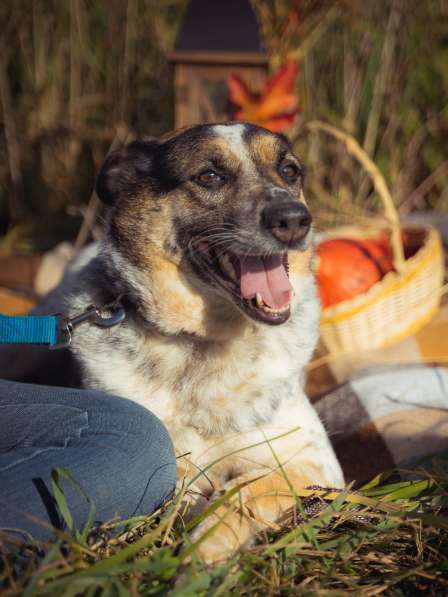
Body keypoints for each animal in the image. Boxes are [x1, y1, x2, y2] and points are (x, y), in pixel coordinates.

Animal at [1, 123, 344, 560]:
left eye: (289, 171)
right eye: (209, 176)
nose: (294, 219)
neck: (203, 341)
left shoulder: (315, 463)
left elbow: (248, 490)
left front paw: (206, 550)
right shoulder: (172, 462)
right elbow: (183, 485)